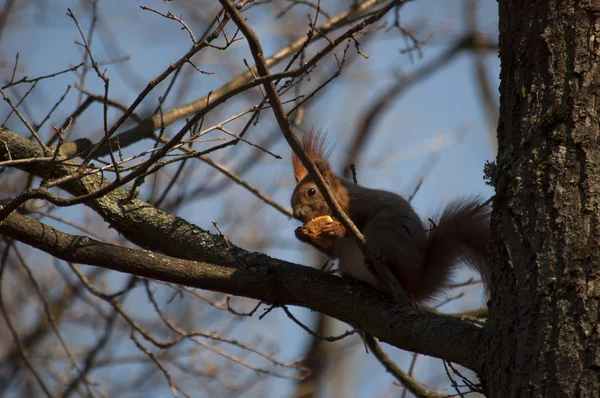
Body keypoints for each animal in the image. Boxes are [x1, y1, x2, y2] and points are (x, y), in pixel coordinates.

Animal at [292, 131, 492, 302]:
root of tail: (415, 285)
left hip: (385, 234)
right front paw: (303, 233)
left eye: (311, 191)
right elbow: (331, 250)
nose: (296, 214)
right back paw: (354, 279)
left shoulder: (361, 204)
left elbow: (358, 222)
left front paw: (337, 227)